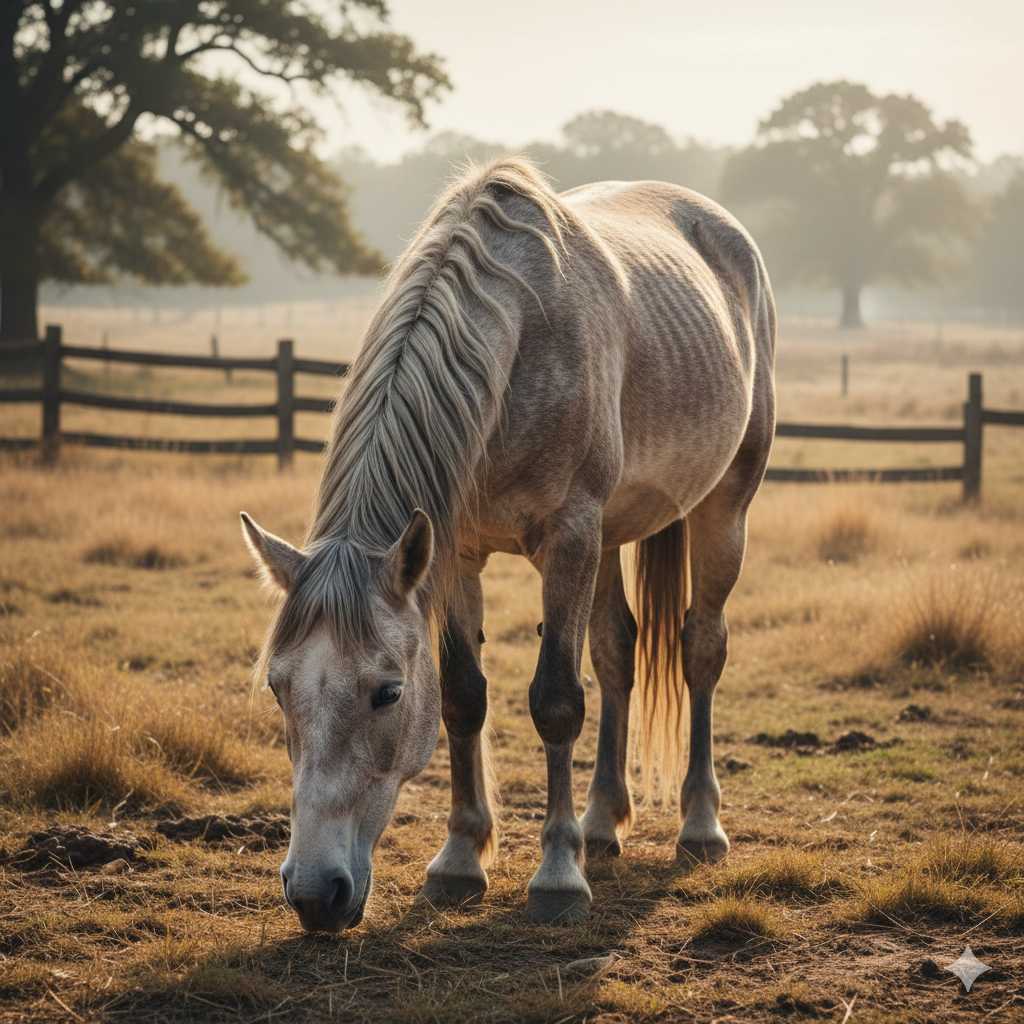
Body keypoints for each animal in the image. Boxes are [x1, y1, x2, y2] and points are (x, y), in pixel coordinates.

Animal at [240, 157, 776, 932]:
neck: (517, 341)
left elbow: (556, 701)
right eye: (278, 687)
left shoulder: (570, 537)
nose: (315, 895)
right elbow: (465, 697)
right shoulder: (455, 551)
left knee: (700, 647)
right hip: (612, 536)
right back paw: (601, 824)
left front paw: (557, 877)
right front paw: (460, 862)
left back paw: (699, 827)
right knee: (617, 652)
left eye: (386, 693)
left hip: (721, 507)